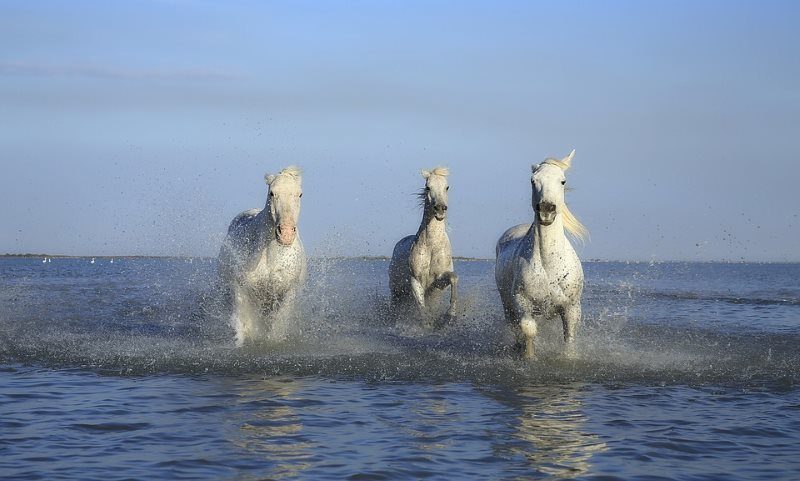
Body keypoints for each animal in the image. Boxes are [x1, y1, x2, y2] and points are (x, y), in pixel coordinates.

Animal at [219, 166, 306, 344]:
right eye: (272, 193)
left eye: (300, 194)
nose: (286, 234)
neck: (270, 256)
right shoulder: (241, 289)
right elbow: (245, 325)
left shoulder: (287, 293)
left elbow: (277, 327)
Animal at [390, 168, 460, 322]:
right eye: (428, 187)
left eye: (447, 187)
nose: (440, 209)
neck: (432, 246)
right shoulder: (415, 281)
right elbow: (422, 309)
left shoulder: (438, 282)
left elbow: (454, 277)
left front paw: (451, 314)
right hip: (396, 292)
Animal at [494, 150, 588, 356]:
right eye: (533, 180)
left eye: (563, 181)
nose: (546, 210)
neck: (549, 264)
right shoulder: (522, 302)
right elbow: (528, 330)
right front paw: (529, 357)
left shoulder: (571, 308)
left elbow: (569, 339)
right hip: (507, 305)